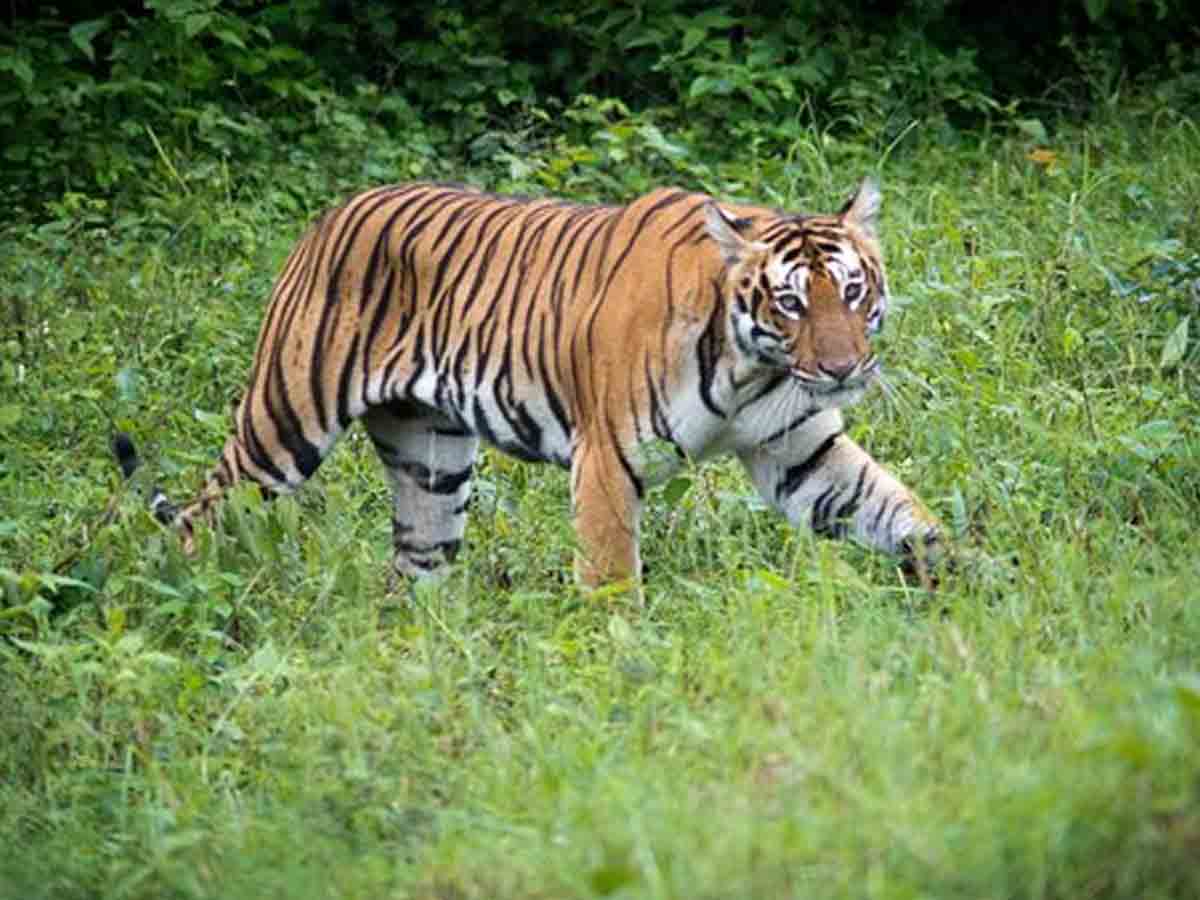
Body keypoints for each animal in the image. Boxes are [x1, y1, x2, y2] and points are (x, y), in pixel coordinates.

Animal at [124, 178, 946, 588]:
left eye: (853, 292)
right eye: (791, 303)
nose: (841, 369)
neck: (752, 365)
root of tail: (329, 213)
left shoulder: (798, 449)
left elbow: (895, 510)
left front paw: (963, 586)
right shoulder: (608, 458)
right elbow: (612, 579)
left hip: (431, 462)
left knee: (414, 568)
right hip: (283, 423)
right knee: (202, 516)